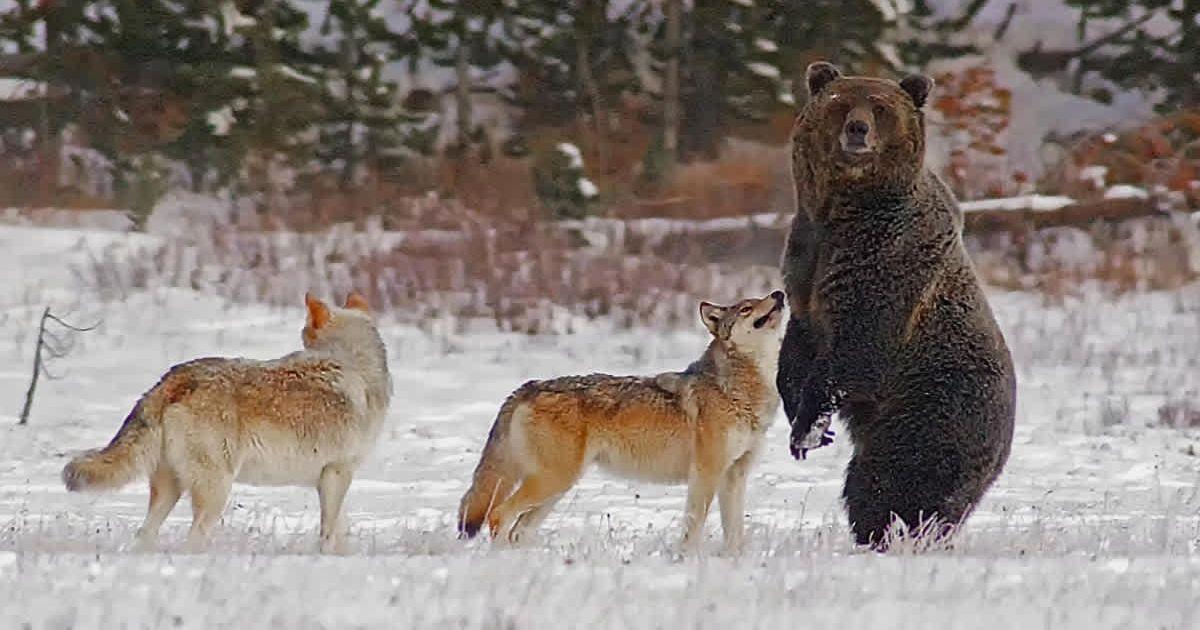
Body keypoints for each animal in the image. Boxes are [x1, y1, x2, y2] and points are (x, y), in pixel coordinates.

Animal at [62, 292, 392, 553]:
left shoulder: (335, 476)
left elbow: (340, 529)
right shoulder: (336, 472)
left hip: (171, 490)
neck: (356, 364)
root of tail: (173, 379)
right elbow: (328, 532)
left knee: (145, 535)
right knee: (194, 538)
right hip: (216, 491)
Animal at [457, 291, 786, 553]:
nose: (779, 293)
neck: (738, 389)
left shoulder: (734, 477)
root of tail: (527, 388)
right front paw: (687, 561)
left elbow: (735, 533)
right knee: (498, 515)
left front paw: (734, 562)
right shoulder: (706, 474)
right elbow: (694, 527)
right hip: (553, 482)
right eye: (746, 308)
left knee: (519, 529)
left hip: (556, 487)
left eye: (759, 298)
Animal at [776, 61, 1016, 549]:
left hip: (935, 407)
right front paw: (806, 423)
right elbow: (798, 341)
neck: (843, 210)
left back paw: (890, 534)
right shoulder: (806, 255)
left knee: (892, 481)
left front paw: (807, 427)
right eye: (840, 102)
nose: (857, 129)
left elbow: (857, 344)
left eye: (881, 107)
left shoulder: (886, 260)